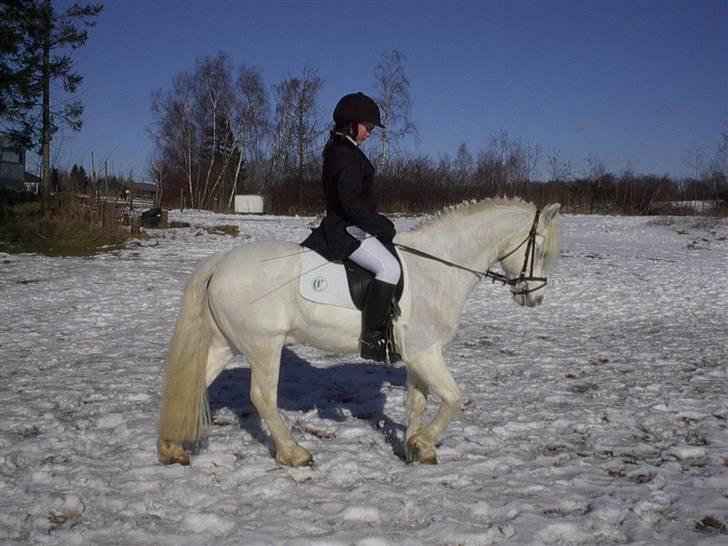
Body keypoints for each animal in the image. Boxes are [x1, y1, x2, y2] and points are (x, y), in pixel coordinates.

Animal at [159, 198, 564, 466]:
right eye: (540, 250)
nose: (535, 298)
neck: (438, 269)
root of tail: (221, 263)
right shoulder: (427, 353)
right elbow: (453, 398)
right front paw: (425, 441)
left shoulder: (420, 354)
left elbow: (418, 402)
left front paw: (415, 447)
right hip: (263, 347)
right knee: (262, 398)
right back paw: (295, 454)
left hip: (226, 344)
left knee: (195, 383)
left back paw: (171, 447)